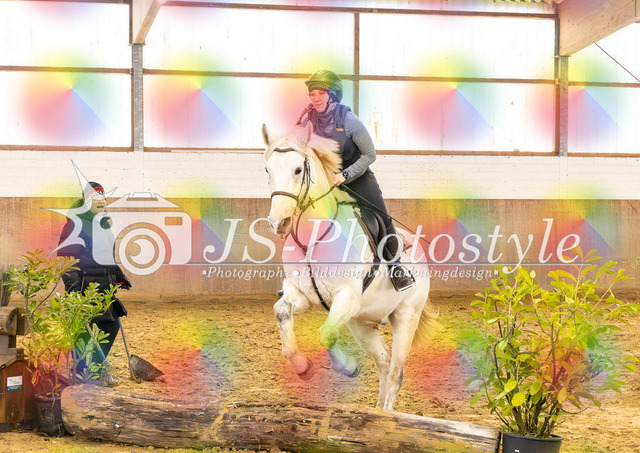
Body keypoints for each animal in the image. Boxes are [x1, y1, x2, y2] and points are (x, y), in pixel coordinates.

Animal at [262, 122, 437, 411]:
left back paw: (387, 416)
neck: (313, 236)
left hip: (405, 317)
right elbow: (283, 312)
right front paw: (301, 367)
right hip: (362, 325)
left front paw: (349, 367)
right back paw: (376, 411)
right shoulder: (301, 295)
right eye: (267, 169)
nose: (280, 222)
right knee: (384, 362)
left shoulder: (347, 298)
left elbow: (326, 334)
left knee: (395, 373)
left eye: (298, 170)